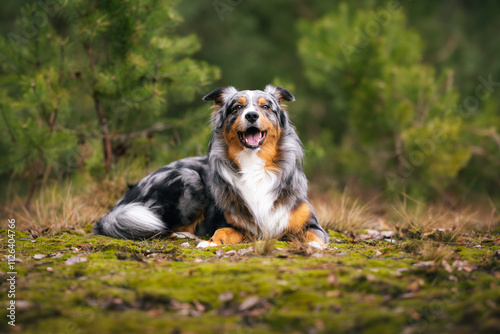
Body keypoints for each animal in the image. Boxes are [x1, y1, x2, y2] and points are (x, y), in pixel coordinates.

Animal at [94, 85, 328, 248]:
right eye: (237, 107)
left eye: (265, 106)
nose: (251, 115)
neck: (254, 165)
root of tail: (122, 201)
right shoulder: (230, 222)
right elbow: (221, 232)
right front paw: (210, 242)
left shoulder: (311, 224)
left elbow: (315, 235)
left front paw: (313, 246)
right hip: (188, 178)